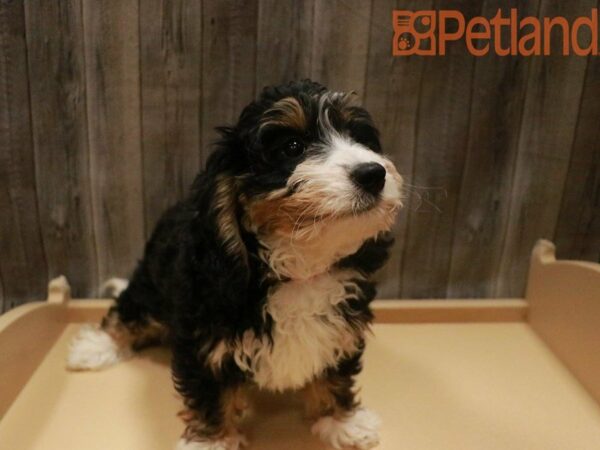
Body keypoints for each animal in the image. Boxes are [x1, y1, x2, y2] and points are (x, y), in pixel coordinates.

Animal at [67, 80, 404, 450]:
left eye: (359, 138)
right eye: (293, 147)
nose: (373, 174)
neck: (298, 270)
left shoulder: (343, 329)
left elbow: (335, 372)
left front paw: (342, 422)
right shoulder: (205, 337)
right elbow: (211, 392)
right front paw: (211, 441)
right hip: (153, 285)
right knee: (130, 309)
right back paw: (96, 347)